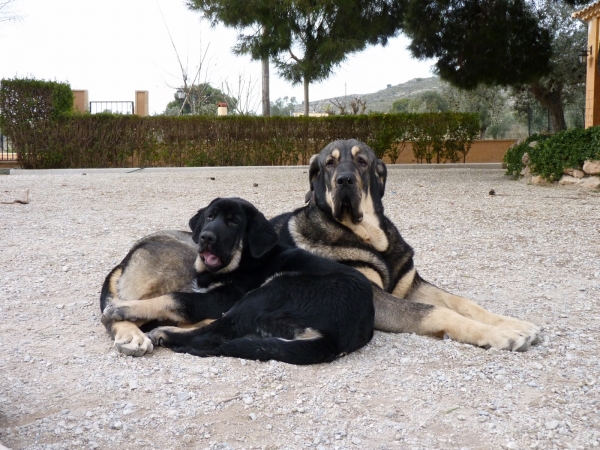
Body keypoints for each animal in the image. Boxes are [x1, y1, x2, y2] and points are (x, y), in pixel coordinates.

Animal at [102, 198, 376, 366]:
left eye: (233, 222)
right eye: (210, 217)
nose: (206, 237)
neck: (242, 262)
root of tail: (338, 339)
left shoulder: (220, 298)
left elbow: (175, 299)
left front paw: (121, 308)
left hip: (272, 290)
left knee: (213, 334)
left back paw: (165, 332)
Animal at [270, 139, 540, 350]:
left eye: (362, 161)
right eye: (329, 163)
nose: (344, 180)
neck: (370, 237)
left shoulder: (411, 285)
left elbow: (462, 302)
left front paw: (514, 324)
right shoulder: (373, 298)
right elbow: (436, 311)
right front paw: (500, 334)